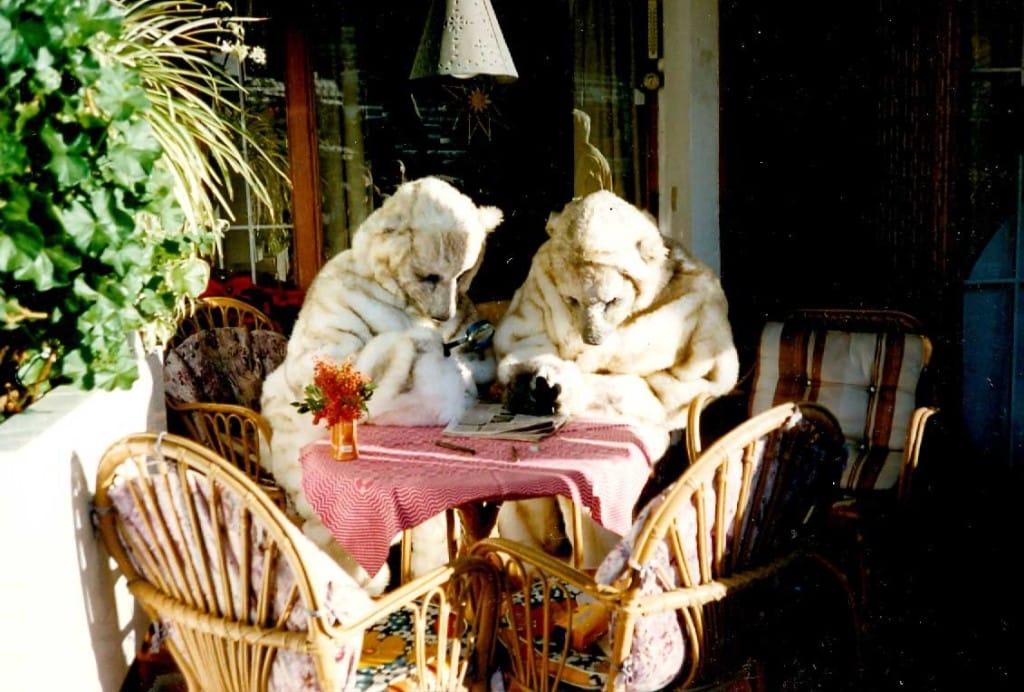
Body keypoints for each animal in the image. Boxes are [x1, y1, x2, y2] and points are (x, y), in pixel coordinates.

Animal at [493, 190, 740, 568]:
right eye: (572, 300)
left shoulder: (701, 318)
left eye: (610, 301)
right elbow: (525, 339)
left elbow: (684, 381)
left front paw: (568, 389)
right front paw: (536, 383)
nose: (592, 338)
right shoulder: (537, 285)